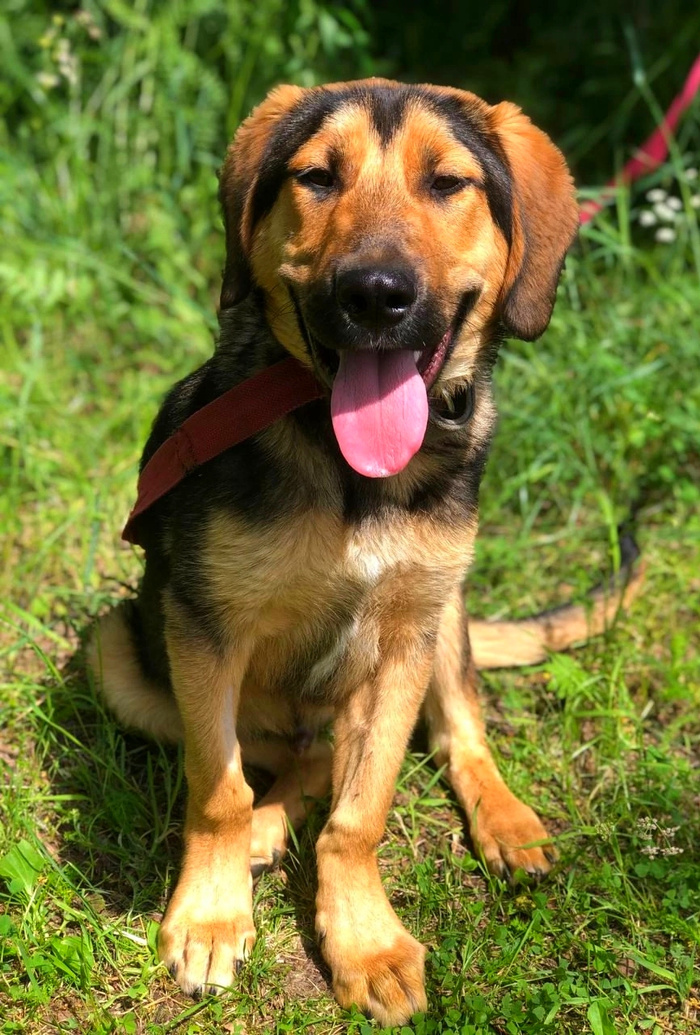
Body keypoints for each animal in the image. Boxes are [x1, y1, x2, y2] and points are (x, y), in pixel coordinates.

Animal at [88, 78, 636, 1025]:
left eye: (448, 183)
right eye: (316, 177)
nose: (375, 294)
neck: (353, 473)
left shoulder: (406, 636)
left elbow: (362, 811)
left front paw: (365, 940)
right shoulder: (206, 625)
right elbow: (219, 787)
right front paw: (212, 916)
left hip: (445, 615)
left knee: (453, 731)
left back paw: (503, 817)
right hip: (119, 650)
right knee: (291, 755)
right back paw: (268, 827)